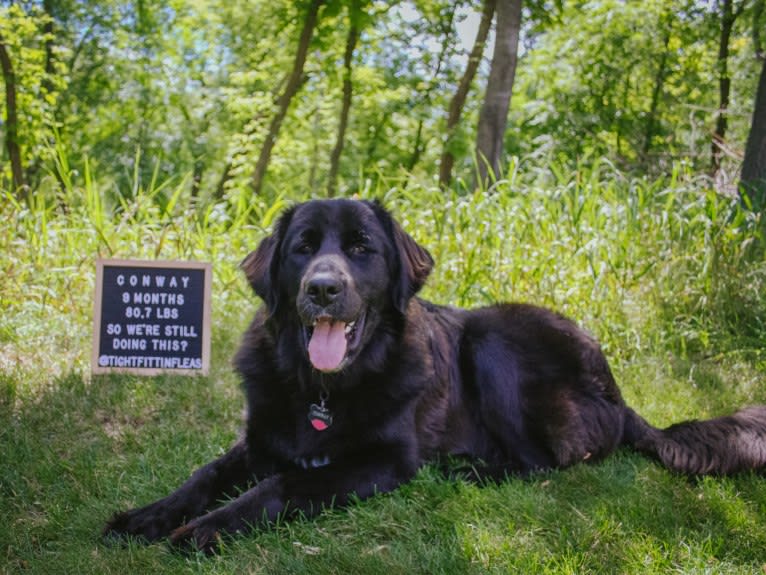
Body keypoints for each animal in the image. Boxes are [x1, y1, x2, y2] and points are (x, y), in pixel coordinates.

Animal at [105, 199, 766, 552]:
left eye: (362, 248)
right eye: (302, 248)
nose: (323, 289)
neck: (324, 389)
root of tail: (620, 394)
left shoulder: (384, 461)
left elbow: (281, 484)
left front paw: (200, 531)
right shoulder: (262, 437)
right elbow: (206, 472)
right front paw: (149, 515)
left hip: (492, 342)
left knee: (545, 463)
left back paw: (468, 468)